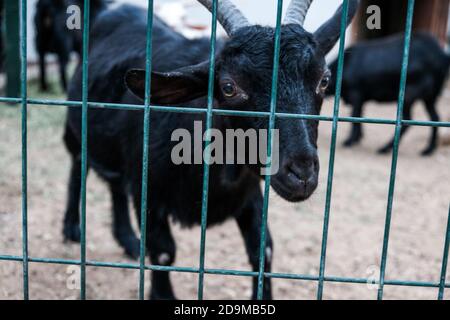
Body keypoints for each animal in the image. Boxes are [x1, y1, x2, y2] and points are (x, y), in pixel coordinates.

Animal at [63, 0, 358, 300]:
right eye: (228, 87)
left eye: (324, 80)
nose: (301, 173)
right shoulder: (147, 190)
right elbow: (163, 252)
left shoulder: (249, 192)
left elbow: (263, 248)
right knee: (78, 164)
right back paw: (73, 228)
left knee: (114, 183)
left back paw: (128, 240)